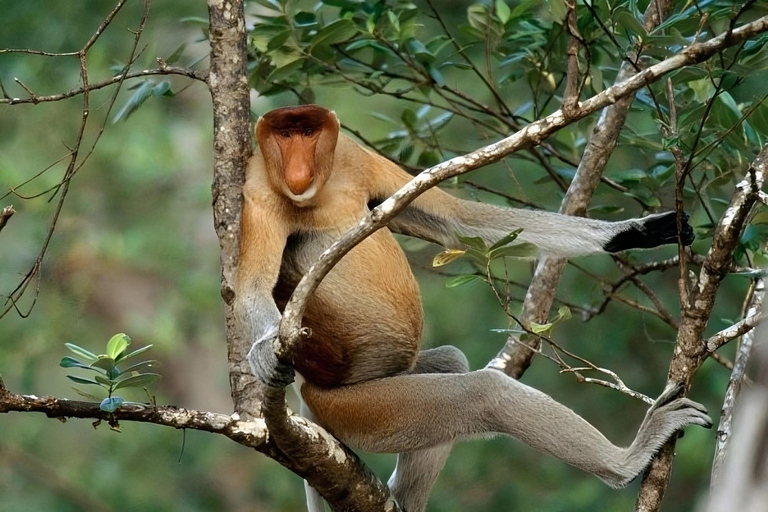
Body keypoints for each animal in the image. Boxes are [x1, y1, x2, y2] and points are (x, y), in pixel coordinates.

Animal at [235, 104, 709, 512]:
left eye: (307, 133)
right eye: (283, 135)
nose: (297, 167)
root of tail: (313, 395)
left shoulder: (352, 156)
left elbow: (457, 219)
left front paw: (635, 231)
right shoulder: (258, 192)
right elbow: (251, 289)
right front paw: (264, 357)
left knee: (452, 361)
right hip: (359, 408)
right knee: (484, 394)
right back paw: (626, 462)